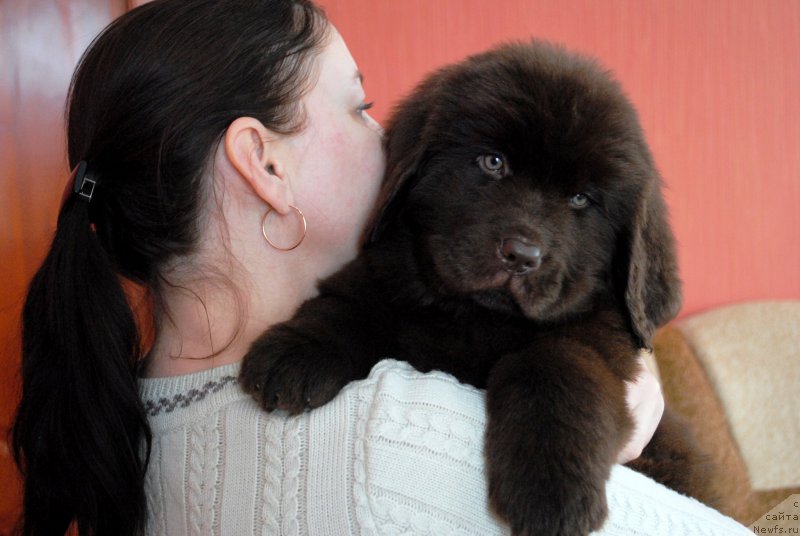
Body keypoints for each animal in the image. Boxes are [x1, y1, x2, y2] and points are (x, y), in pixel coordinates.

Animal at [238, 42, 712, 536]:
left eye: (581, 199)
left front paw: (550, 491)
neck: (475, 317)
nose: (522, 255)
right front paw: (293, 353)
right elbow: (349, 305)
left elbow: (554, 368)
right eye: (493, 162)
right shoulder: (384, 271)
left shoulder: (597, 342)